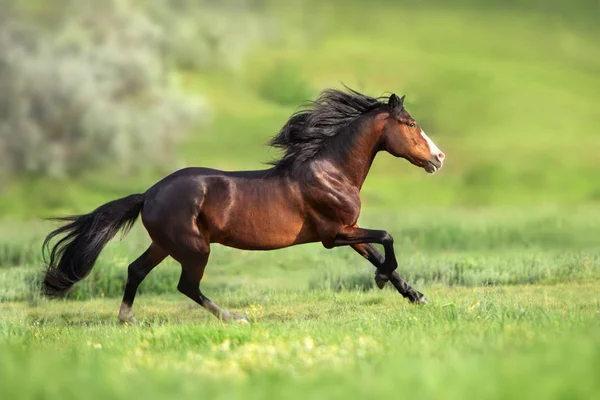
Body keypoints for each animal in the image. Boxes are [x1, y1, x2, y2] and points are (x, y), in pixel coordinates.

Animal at [43, 88, 446, 324]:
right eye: (410, 123)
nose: (439, 158)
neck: (331, 171)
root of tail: (149, 193)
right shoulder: (334, 235)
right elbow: (387, 238)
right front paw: (385, 281)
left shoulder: (348, 230)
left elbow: (378, 253)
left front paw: (416, 295)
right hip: (194, 248)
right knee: (186, 285)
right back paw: (233, 317)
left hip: (165, 244)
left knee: (136, 270)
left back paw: (128, 319)